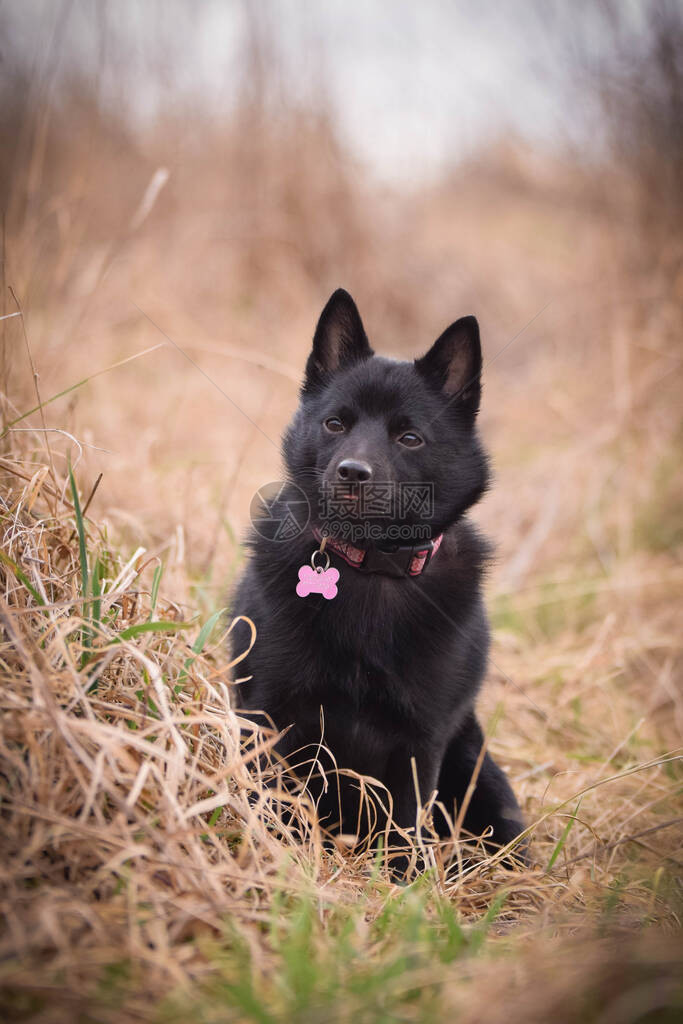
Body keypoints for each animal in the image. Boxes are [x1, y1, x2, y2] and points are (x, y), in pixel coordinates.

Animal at [232, 288, 528, 872]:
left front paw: (403, 882)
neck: (372, 565)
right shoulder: (268, 712)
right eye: (335, 424)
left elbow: (404, 824)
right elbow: (270, 799)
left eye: (409, 437)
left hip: (478, 767)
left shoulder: (421, 741)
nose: (352, 472)